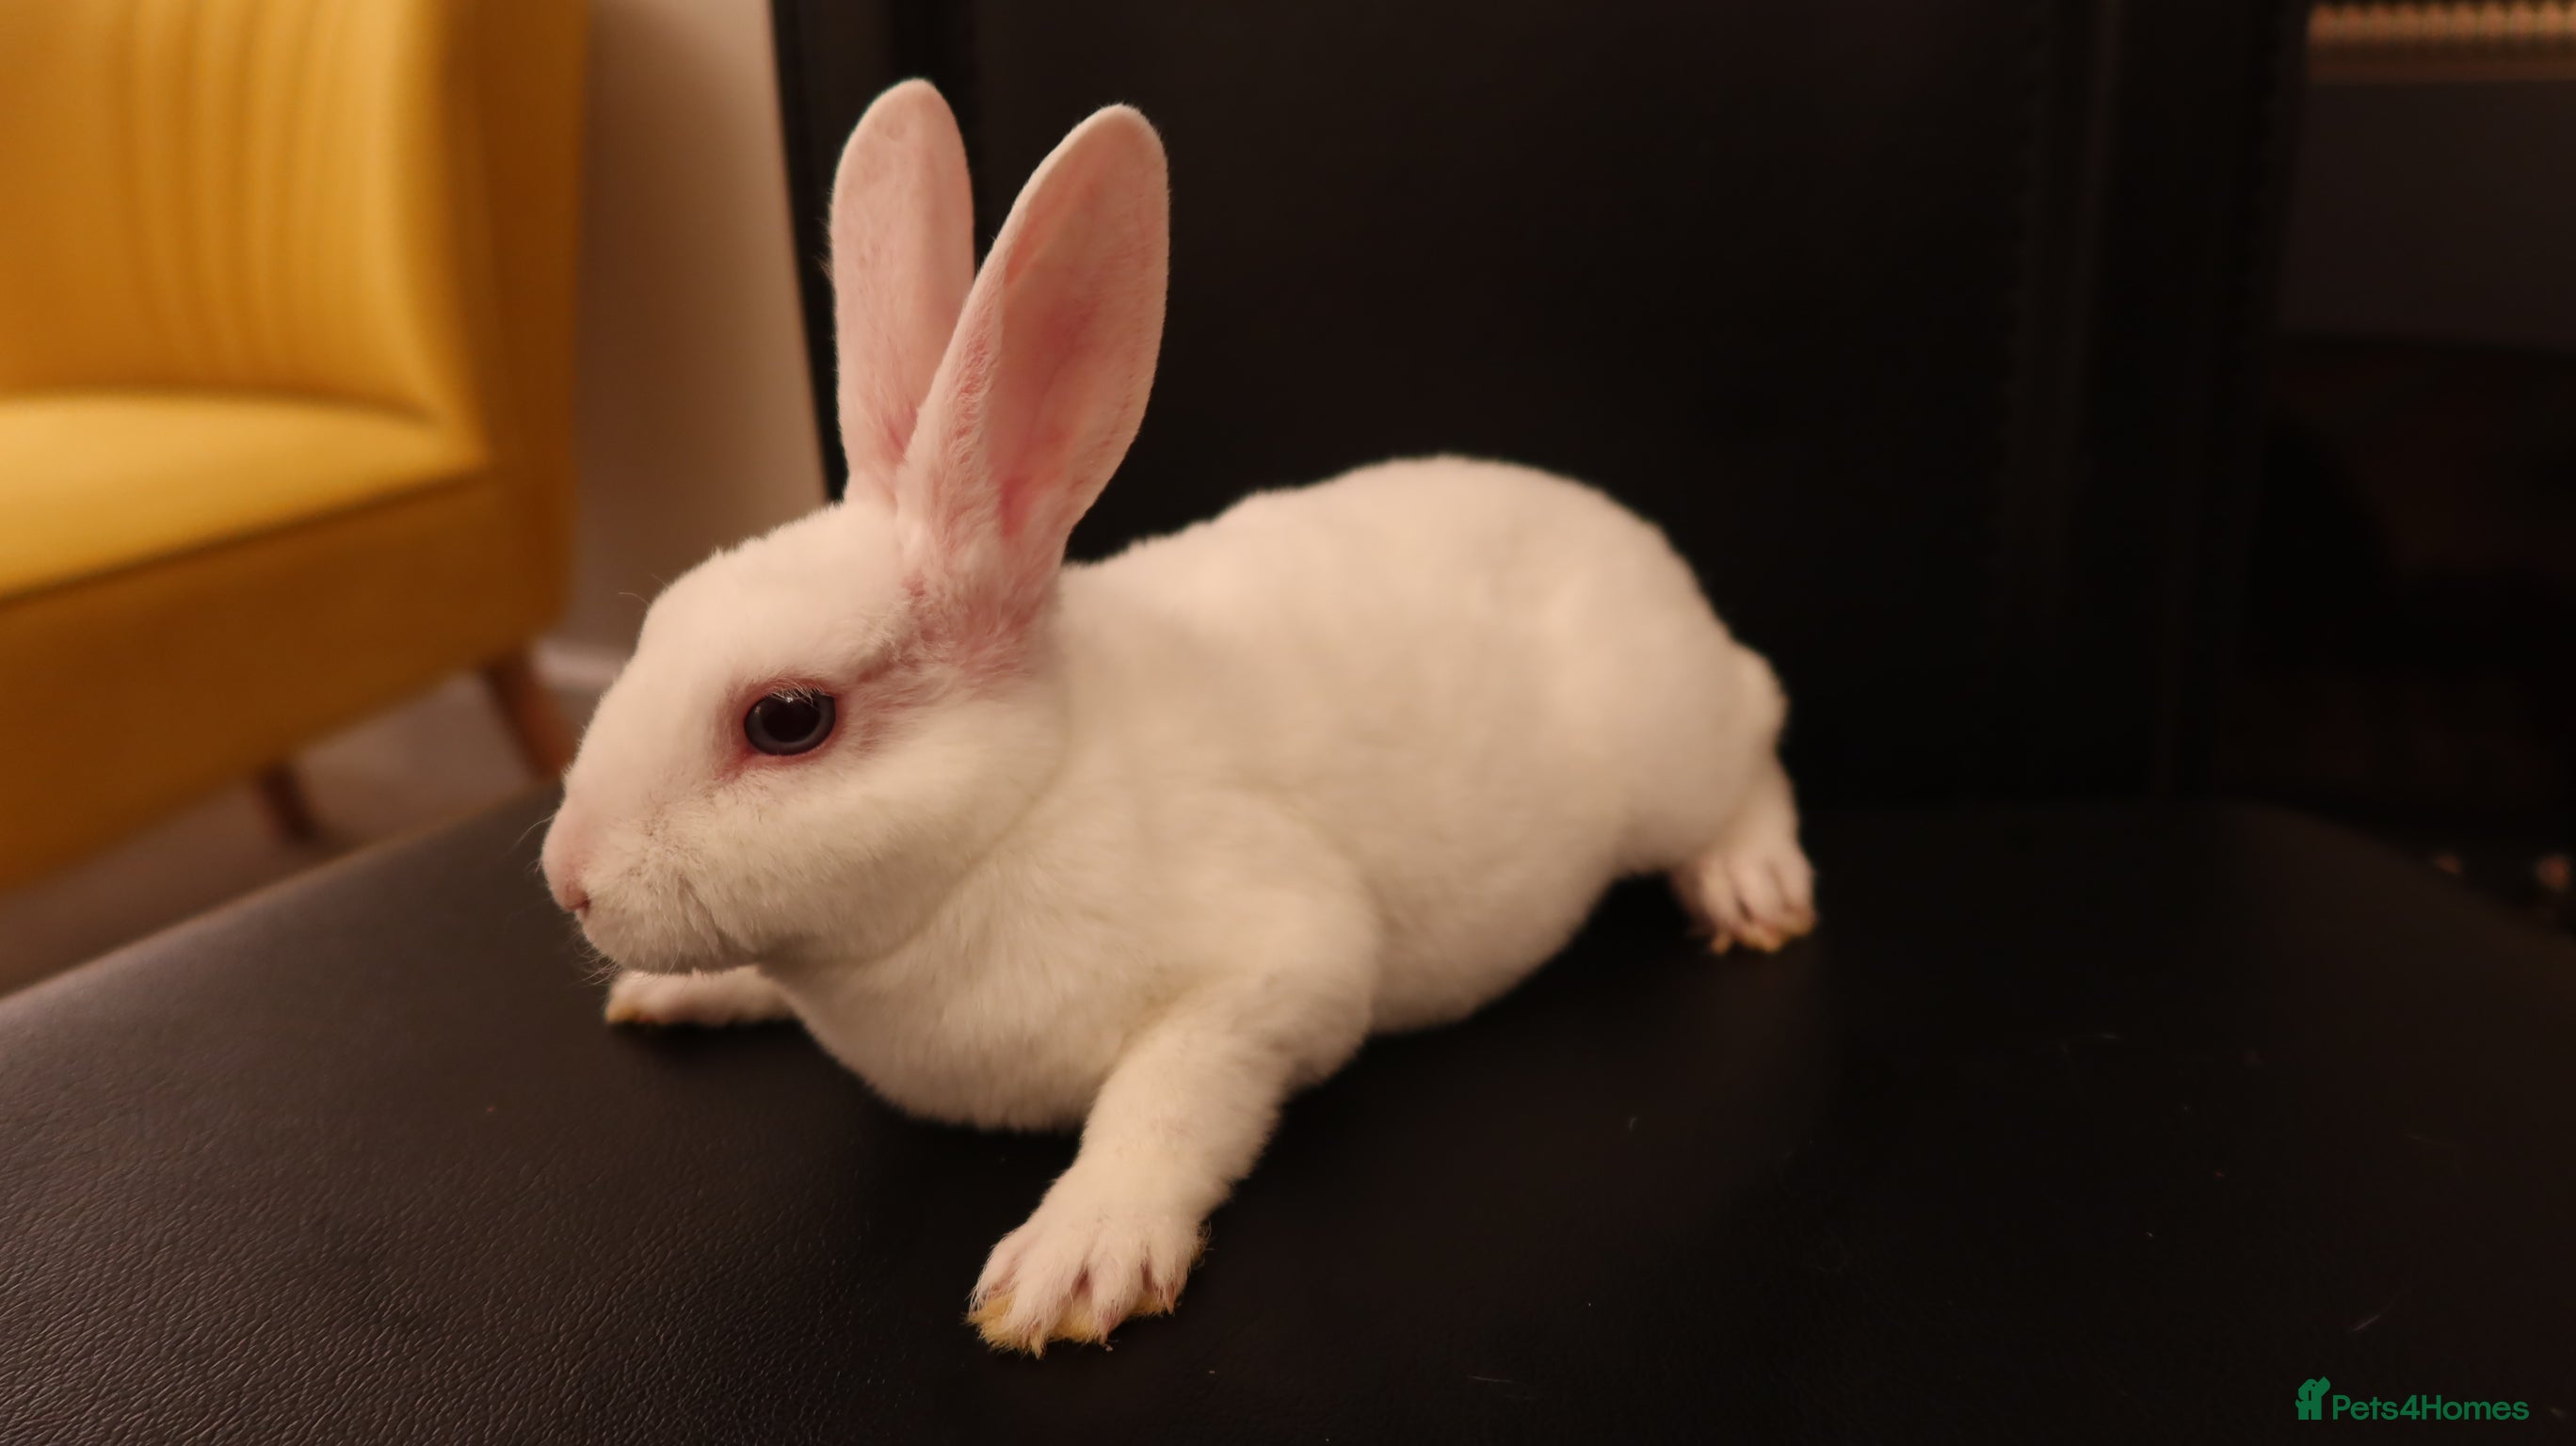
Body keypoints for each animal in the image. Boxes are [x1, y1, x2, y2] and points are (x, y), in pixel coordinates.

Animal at [539, 80, 1815, 1356]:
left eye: (788, 720)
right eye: (660, 619)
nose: (567, 880)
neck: (1020, 808)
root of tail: (1631, 539)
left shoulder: (1280, 973)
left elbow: (1165, 1104)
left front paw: (1071, 1266)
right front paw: (672, 993)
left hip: (1676, 759)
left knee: (1760, 731)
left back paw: (1751, 890)